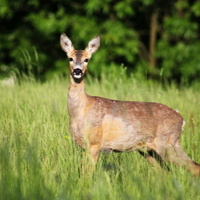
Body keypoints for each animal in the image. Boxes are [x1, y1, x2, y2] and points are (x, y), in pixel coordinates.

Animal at [59, 33, 200, 176]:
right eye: (70, 58)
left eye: (87, 59)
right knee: (166, 173)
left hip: (169, 144)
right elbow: (83, 171)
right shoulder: (85, 146)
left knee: (195, 167)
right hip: (148, 150)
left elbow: (87, 174)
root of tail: (181, 119)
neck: (80, 110)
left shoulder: (94, 142)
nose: (77, 71)